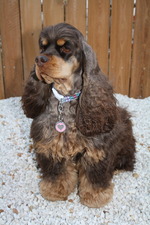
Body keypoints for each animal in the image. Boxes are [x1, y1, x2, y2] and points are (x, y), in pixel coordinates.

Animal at [21, 22, 136, 207]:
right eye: (42, 47)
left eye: (66, 47)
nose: (39, 59)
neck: (65, 100)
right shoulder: (49, 143)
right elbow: (56, 171)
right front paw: (54, 190)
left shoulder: (96, 148)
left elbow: (94, 175)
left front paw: (95, 197)